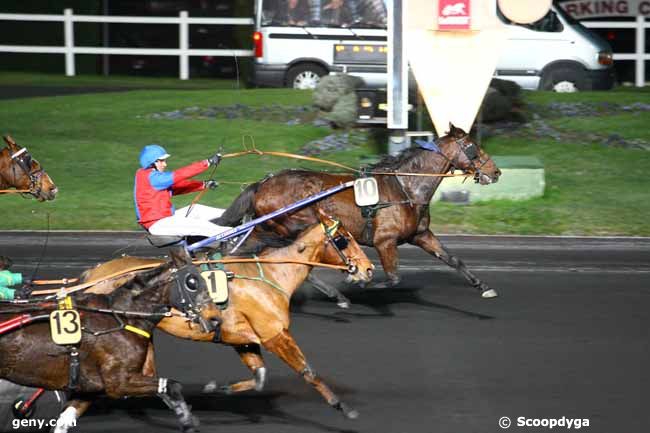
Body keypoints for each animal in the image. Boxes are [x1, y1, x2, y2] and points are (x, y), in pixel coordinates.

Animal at [0, 248, 219, 430]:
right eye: (192, 282)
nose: (215, 318)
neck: (122, 316)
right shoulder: (118, 382)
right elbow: (172, 385)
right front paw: (188, 421)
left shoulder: (87, 389)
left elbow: (64, 421)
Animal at [83, 212, 372, 418]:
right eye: (344, 238)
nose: (368, 269)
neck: (271, 275)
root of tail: (93, 274)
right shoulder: (275, 335)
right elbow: (308, 372)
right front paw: (342, 406)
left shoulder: (242, 340)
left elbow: (260, 377)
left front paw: (216, 388)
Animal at [216, 123, 502, 302]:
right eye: (473, 146)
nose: (496, 171)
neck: (405, 187)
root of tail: (263, 184)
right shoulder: (384, 240)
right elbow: (393, 279)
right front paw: (358, 281)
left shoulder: (420, 235)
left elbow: (453, 260)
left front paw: (484, 286)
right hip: (291, 227)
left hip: (267, 230)